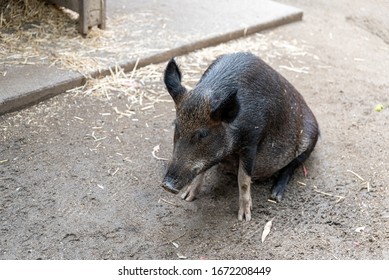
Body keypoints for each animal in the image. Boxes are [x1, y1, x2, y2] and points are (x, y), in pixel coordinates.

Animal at [161, 52, 318, 221]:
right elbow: (202, 169)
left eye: (203, 134)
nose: (166, 185)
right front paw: (187, 197)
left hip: (310, 139)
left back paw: (275, 195)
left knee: (292, 166)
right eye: (176, 125)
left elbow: (243, 178)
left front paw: (245, 217)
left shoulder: (252, 141)